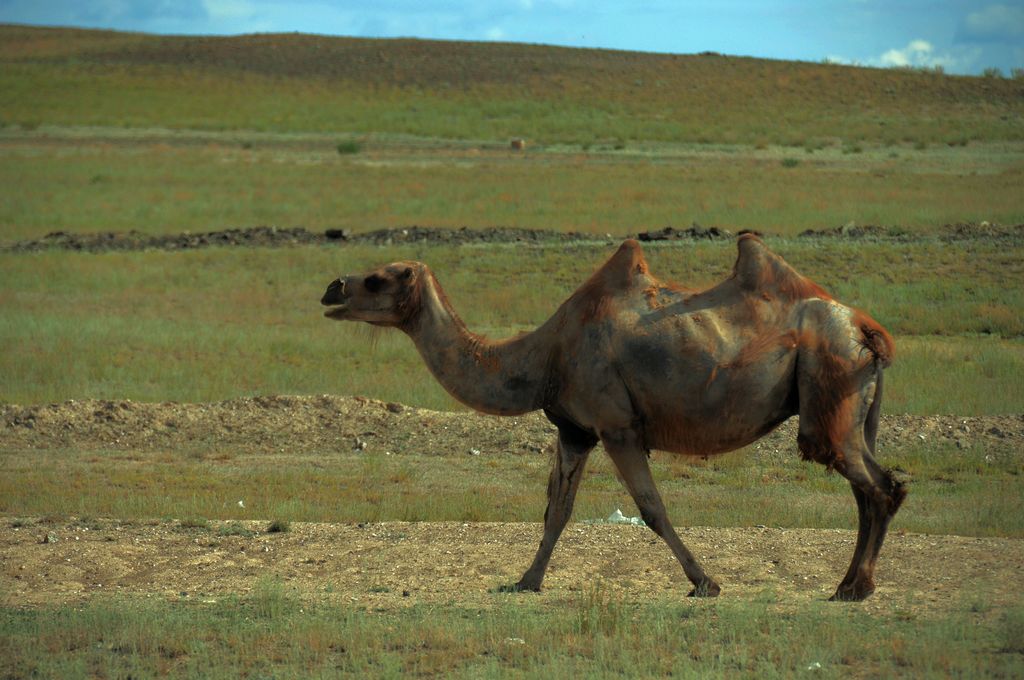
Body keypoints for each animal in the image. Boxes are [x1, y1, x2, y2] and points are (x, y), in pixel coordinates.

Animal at [317, 233, 905, 602]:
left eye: (377, 279)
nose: (332, 288)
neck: (543, 357)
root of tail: (867, 329)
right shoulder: (576, 430)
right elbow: (556, 510)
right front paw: (525, 581)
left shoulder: (617, 426)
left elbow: (652, 509)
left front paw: (705, 583)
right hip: (851, 406)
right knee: (870, 487)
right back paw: (848, 584)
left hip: (828, 386)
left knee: (879, 487)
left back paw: (855, 589)